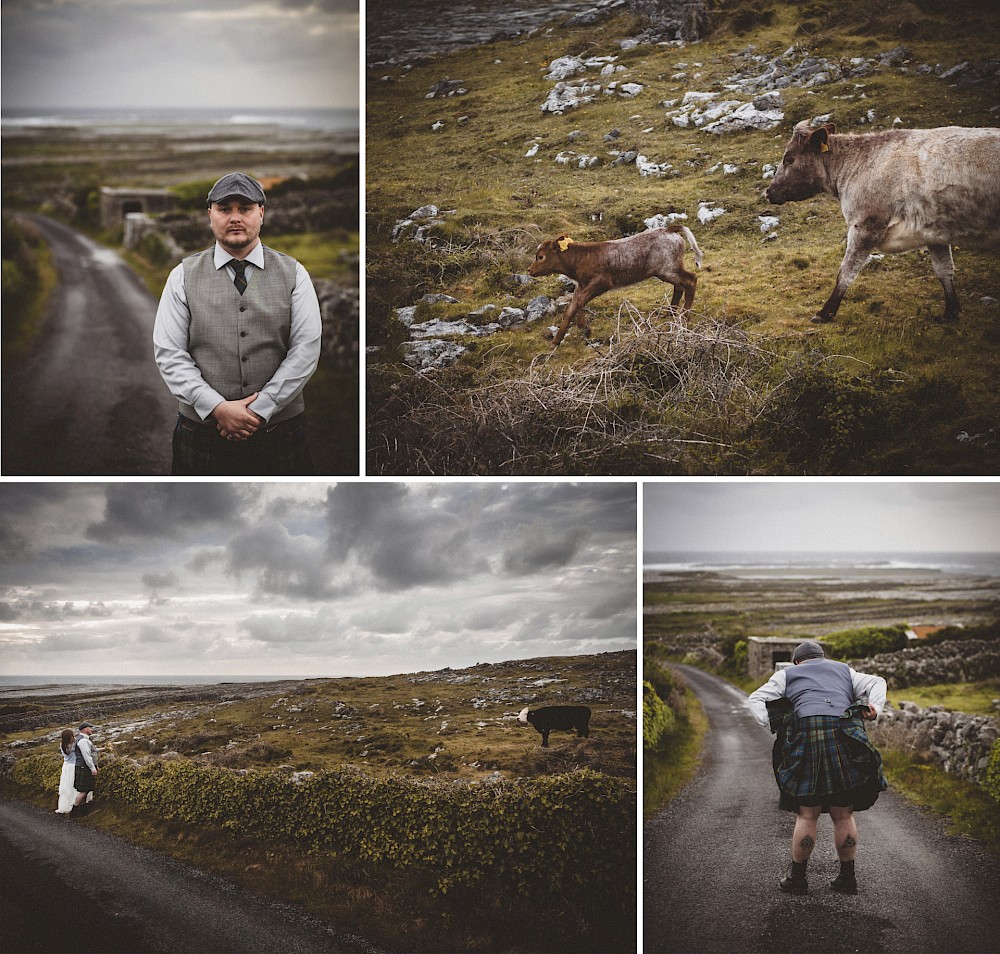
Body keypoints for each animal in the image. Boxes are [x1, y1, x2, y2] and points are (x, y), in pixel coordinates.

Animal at [524, 225, 704, 348]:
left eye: (540, 256)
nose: (529, 270)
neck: (580, 260)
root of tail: (669, 228)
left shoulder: (602, 281)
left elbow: (580, 302)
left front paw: (585, 328)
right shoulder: (581, 285)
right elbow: (572, 307)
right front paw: (556, 341)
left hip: (668, 269)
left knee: (691, 280)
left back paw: (684, 317)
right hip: (668, 269)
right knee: (679, 287)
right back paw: (670, 313)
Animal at [768, 121, 996, 324]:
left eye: (789, 159)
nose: (768, 192)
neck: (856, 164)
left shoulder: (865, 226)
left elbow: (845, 272)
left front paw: (825, 313)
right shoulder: (934, 232)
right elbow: (944, 270)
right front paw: (950, 312)